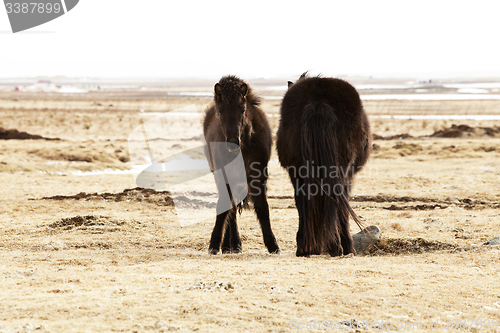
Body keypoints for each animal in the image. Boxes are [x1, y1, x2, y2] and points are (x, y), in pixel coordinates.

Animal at [203, 74, 282, 254]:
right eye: (220, 111)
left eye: (243, 110)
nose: (233, 143)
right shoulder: (223, 175)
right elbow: (224, 207)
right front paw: (214, 245)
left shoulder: (258, 175)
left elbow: (262, 207)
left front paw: (273, 245)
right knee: (230, 210)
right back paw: (230, 245)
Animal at [278, 71, 372, 255]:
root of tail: (318, 101)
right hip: (340, 171)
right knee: (335, 202)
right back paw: (337, 246)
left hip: (298, 172)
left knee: (303, 202)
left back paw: (305, 247)